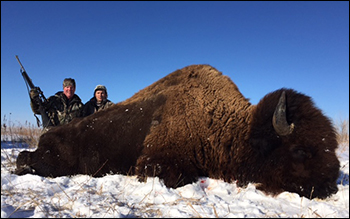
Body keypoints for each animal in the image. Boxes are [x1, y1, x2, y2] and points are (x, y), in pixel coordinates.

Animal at [15, 64, 340, 199]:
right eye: (300, 149)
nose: (331, 186)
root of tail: (47, 135)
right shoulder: (155, 164)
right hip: (55, 163)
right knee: (26, 159)